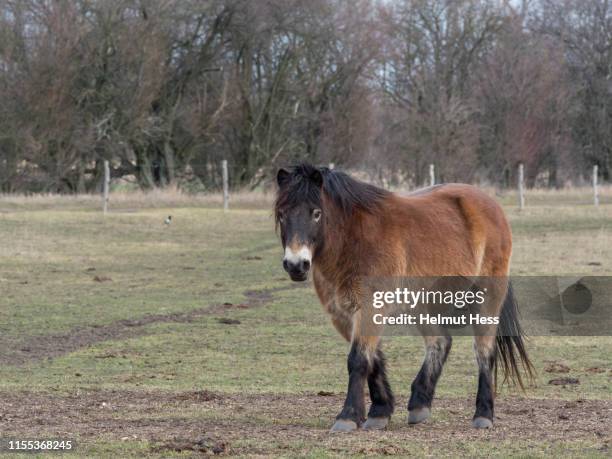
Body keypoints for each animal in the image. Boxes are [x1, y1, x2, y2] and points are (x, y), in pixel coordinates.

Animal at [274, 164, 532, 434]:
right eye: (281, 214)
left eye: (316, 213)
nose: (296, 265)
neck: (354, 240)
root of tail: (490, 204)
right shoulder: (342, 314)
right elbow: (373, 359)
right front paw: (379, 412)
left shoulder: (369, 307)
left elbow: (358, 359)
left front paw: (348, 416)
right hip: (423, 303)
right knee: (440, 341)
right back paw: (419, 404)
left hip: (488, 296)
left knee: (484, 350)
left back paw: (483, 414)